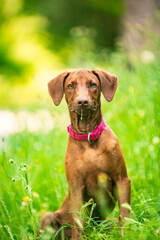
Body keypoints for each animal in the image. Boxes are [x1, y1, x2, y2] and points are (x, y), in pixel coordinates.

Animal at [42, 68, 131, 239]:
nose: (82, 101)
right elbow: (77, 223)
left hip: (106, 223)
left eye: (92, 84)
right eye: (70, 85)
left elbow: (124, 214)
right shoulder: (76, 188)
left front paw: (126, 235)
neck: (88, 136)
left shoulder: (122, 179)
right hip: (47, 217)